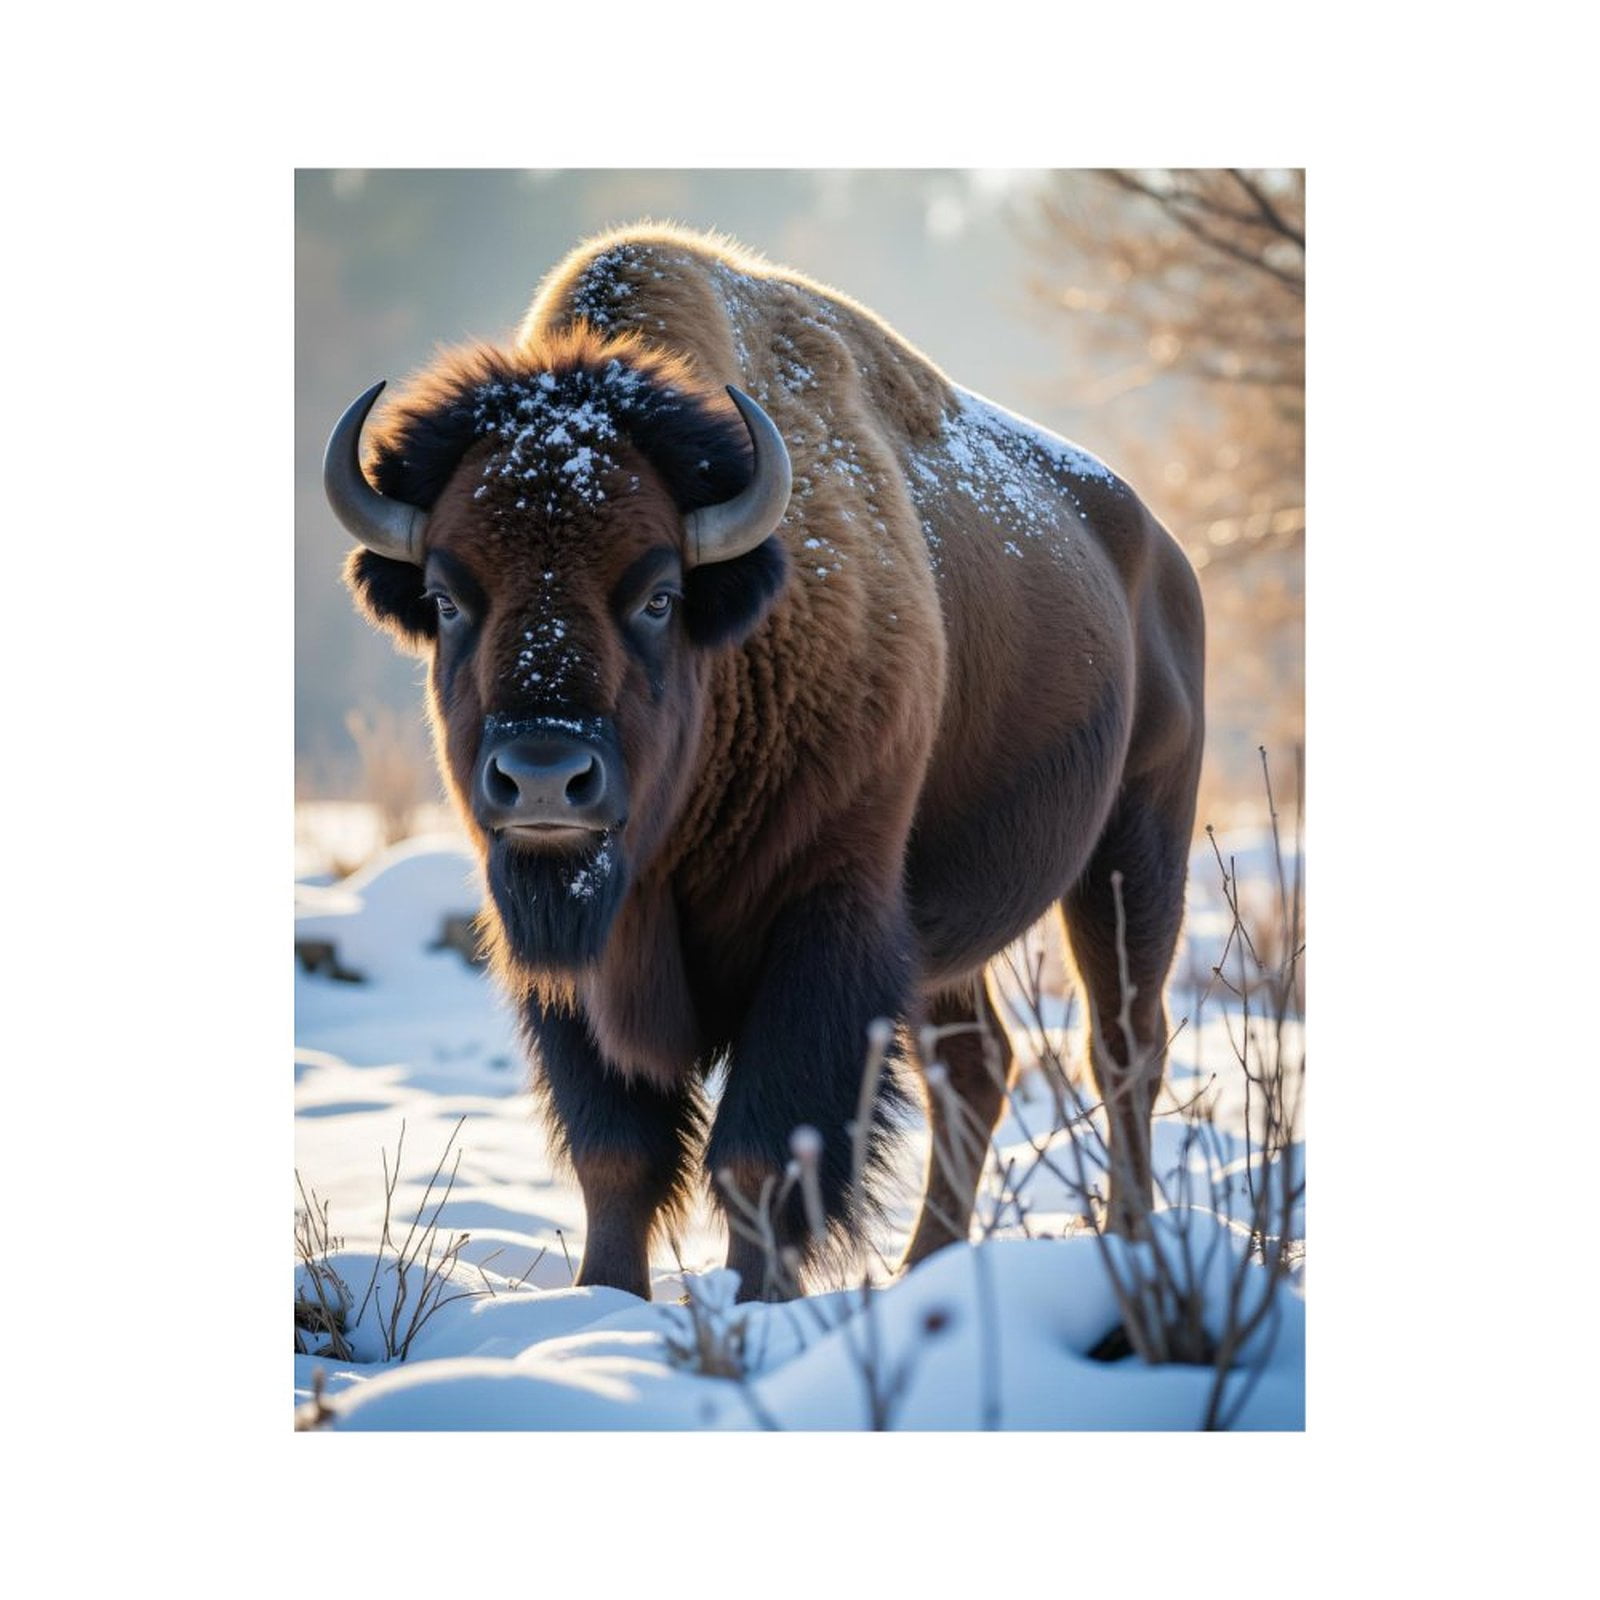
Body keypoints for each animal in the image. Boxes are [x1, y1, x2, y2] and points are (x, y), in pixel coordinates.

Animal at [324, 224, 1204, 1301]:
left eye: (659, 593)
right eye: (448, 598)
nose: (542, 776)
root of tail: (1162, 556)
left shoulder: (825, 917)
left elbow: (761, 1152)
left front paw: (756, 1304)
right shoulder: (568, 961)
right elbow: (616, 1150)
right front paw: (605, 1301)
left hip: (1134, 851)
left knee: (1121, 1046)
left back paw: (1131, 1242)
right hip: (945, 930)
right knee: (978, 1064)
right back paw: (928, 1267)